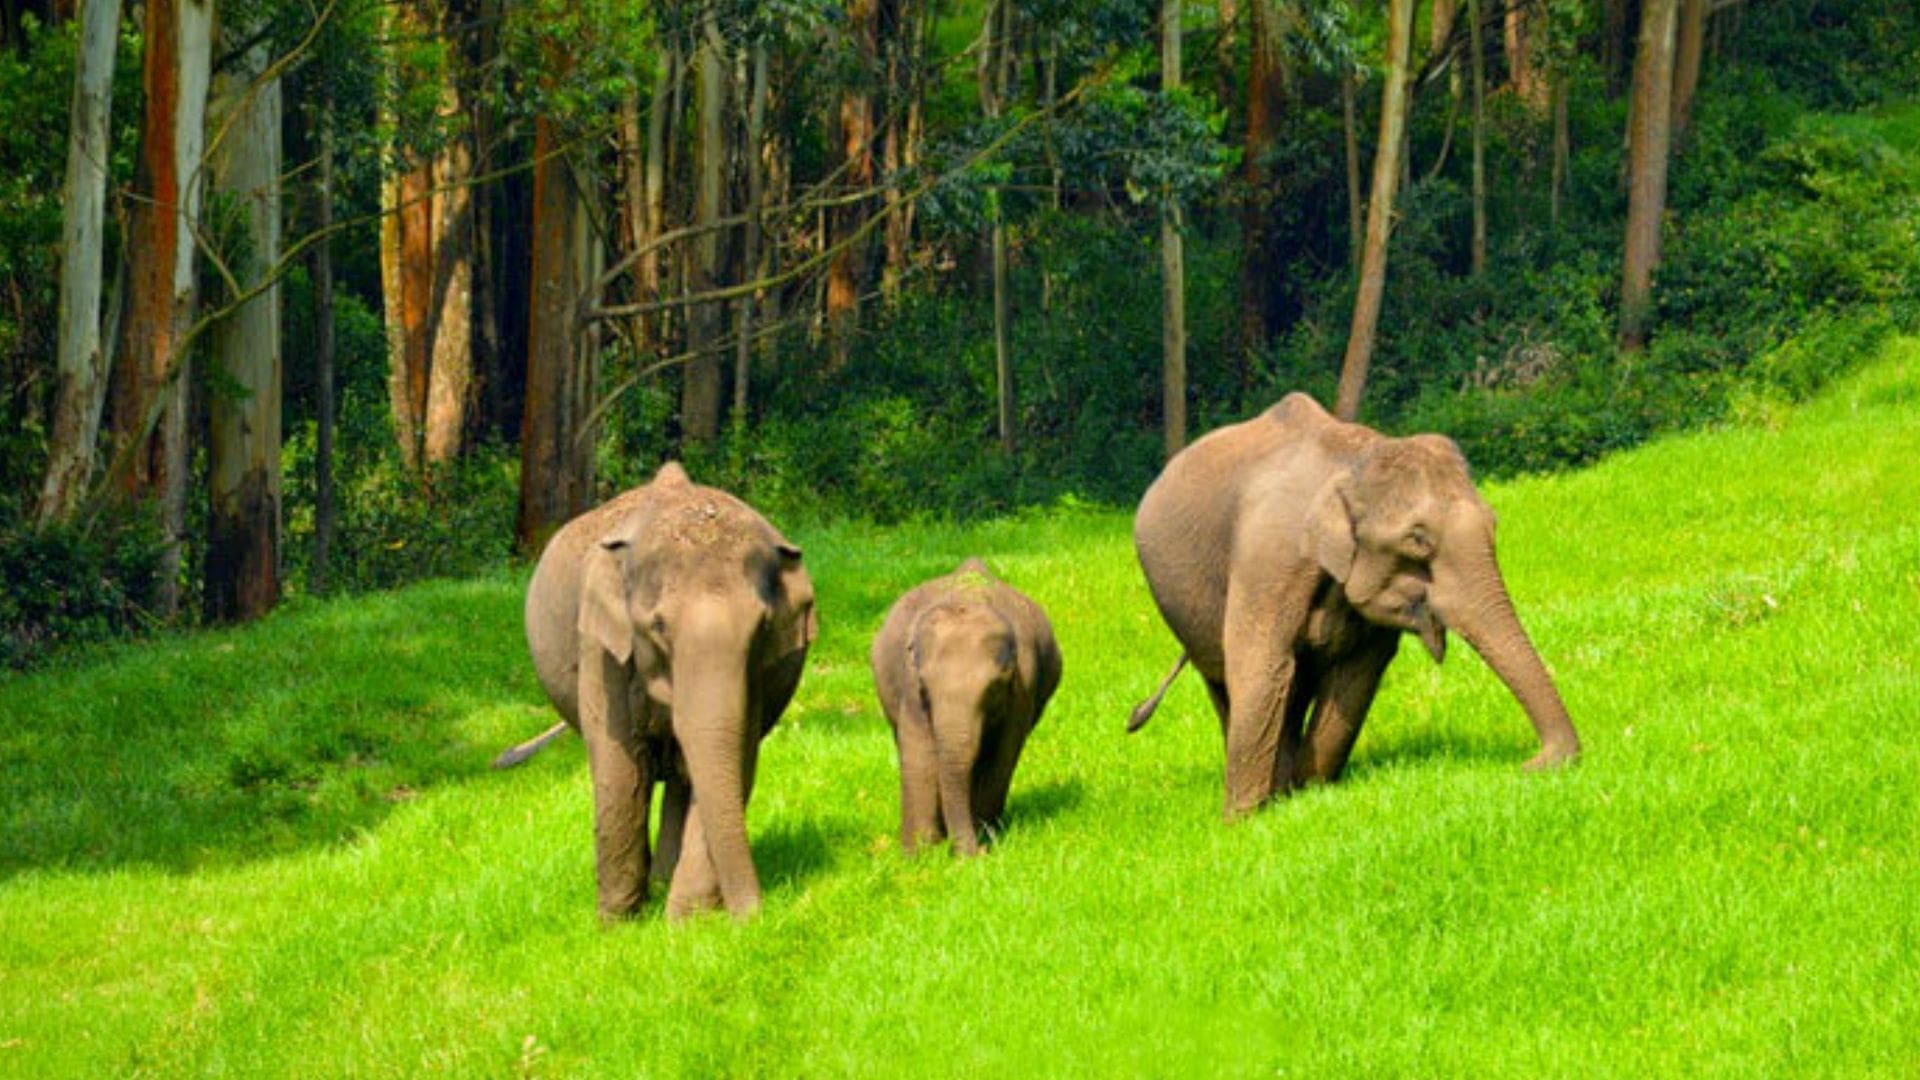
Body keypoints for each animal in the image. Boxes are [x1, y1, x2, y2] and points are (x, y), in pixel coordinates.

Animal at [513, 462, 817, 921]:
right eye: (657, 626)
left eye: (763, 626)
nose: (754, 918)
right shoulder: (601, 649)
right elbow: (620, 769)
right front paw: (617, 924)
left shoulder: (757, 675)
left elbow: (733, 760)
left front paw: (685, 922)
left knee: (682, 778)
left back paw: (662, 883)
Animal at [870, 559, 1062, 856]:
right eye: (925, 687)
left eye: (994, 688)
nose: (976, 854)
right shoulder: (910, 685)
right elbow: (918, 750)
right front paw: (919, 854)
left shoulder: (1023, 688)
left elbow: (1002, 753)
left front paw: (984, 837)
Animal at [1129, 393, 1579, 819]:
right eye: (1418, 539)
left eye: (1494, 523)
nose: (1530, 765)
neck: (1352, 459)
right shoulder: (1266, 560)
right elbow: (1263, 665)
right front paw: (1243, 822)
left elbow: (1357, 673)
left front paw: (1307, 794)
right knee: (1227, 681)